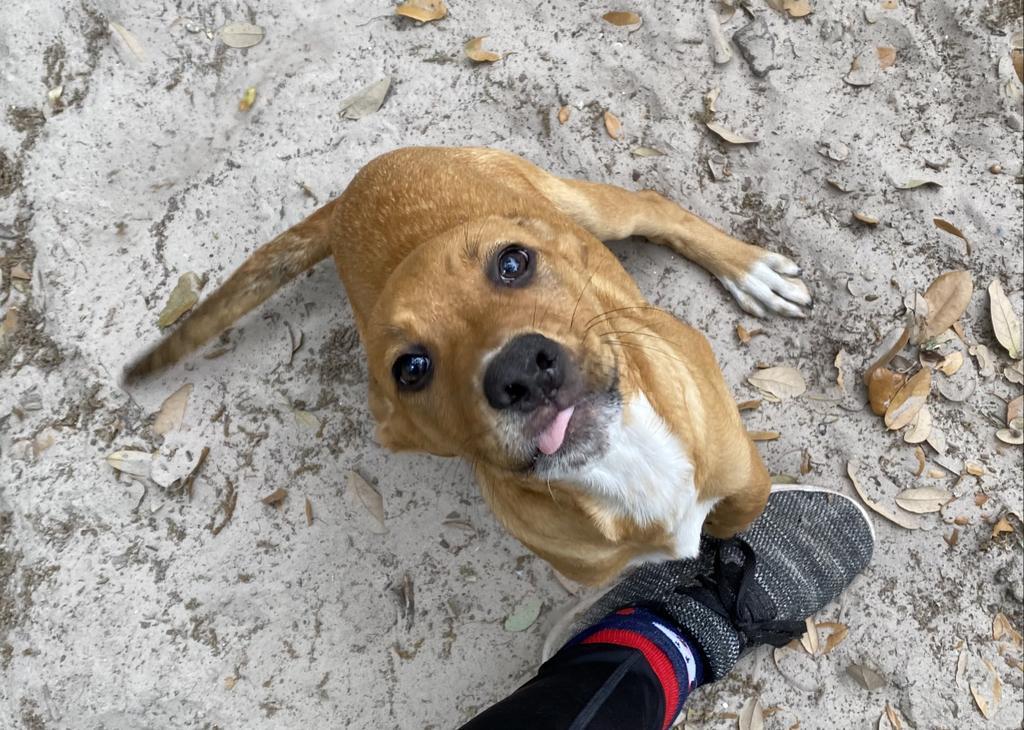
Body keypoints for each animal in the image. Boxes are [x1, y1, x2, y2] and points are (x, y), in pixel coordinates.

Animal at [128, 145, 811, 585]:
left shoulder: (747, 476)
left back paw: (749, 270)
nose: (521, 371)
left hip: (585, 208)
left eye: (513, 263)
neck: (625, 462)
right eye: (411, 369)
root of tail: (350, 194)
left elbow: (736, 518)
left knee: (652, 206)